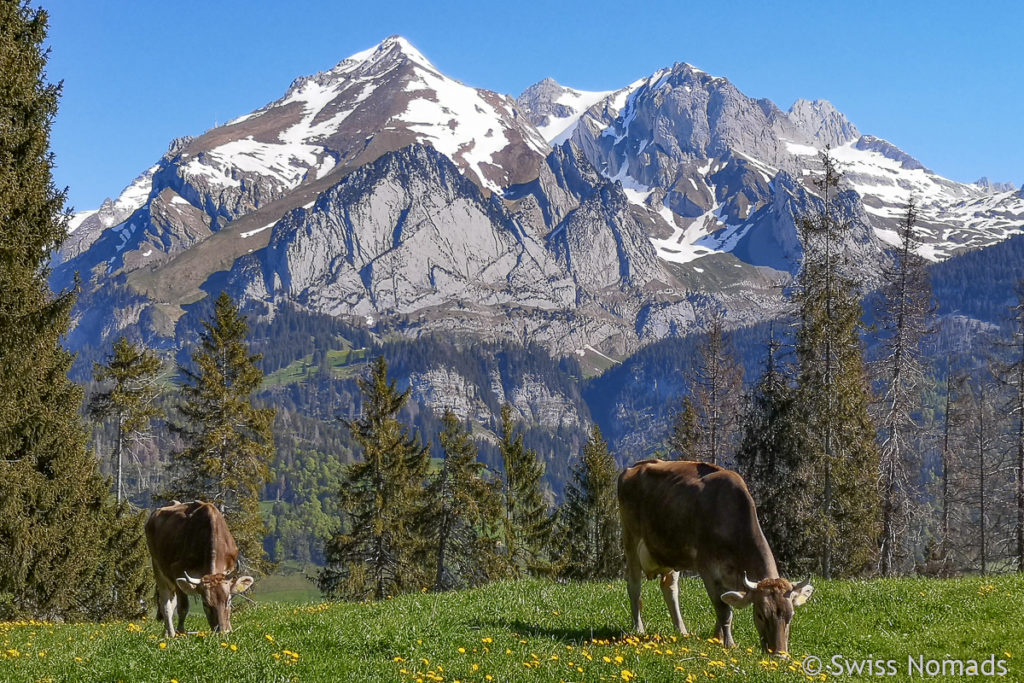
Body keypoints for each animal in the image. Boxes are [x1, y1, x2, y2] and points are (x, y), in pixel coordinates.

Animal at [144, 499, 253, 638]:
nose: (222, 631)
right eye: (205, 604)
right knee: (166, 603)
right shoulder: (177, 571)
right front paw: (181, 633)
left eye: (228, 601)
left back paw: (167, 633)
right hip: (157, 566)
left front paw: (230, 627)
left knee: (171, 602)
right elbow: (183, 607)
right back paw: (171, 634)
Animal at [614, 458, 815, 655]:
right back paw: (639, 629)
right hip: (630, 541)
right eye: (760, 614)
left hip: (670, 553)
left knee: (670, 589)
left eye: (790, 615)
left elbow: (725, 606)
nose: (779, 654)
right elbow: (724, 611)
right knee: (634, 586)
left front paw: (716, 638)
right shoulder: (708, 570)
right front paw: (729, 643)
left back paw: (682, 631)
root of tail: (636, 466)